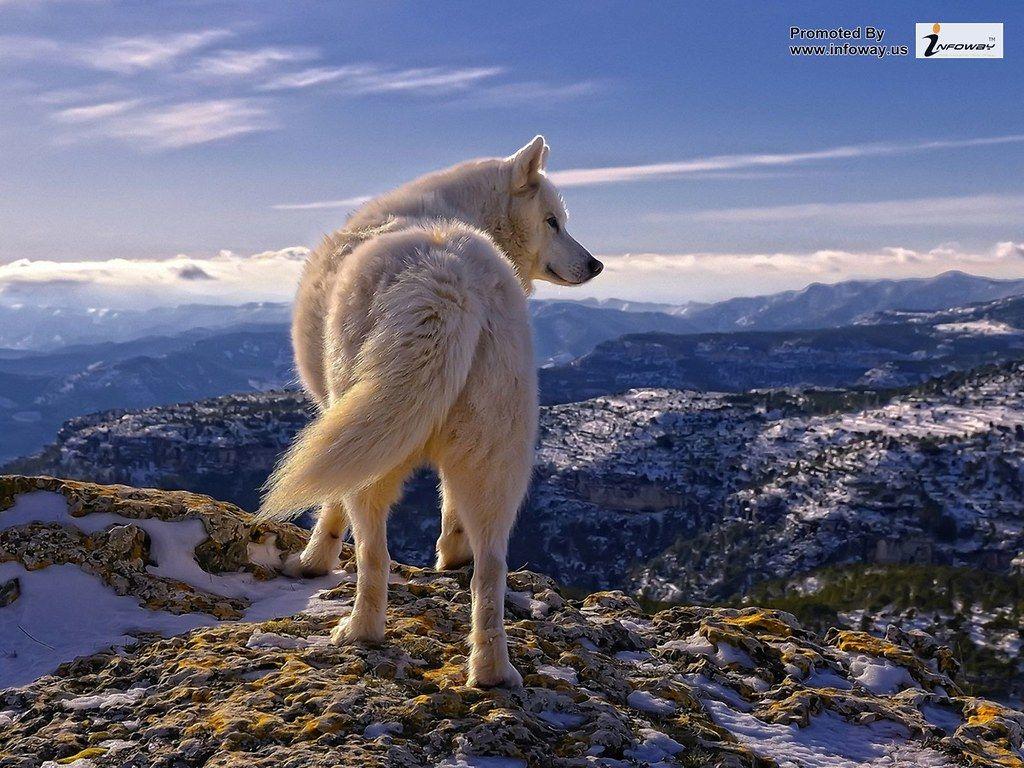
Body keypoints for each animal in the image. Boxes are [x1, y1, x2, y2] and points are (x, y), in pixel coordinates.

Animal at [258, 136, 601, 686]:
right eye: (553, 222)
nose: (596, 265)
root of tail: (448, 280)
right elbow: (449, 507)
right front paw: (451, 553)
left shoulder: (338, 414)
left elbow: (329, 507)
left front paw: (312, 562)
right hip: (496, 455)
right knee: (491, 566)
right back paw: (491, 670)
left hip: (375, 448)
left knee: (374, 553)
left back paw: (359, 631)